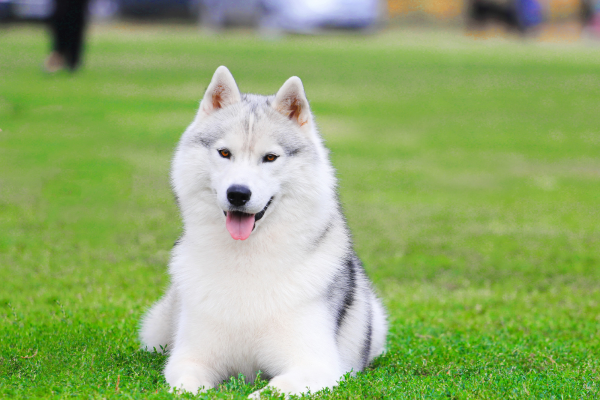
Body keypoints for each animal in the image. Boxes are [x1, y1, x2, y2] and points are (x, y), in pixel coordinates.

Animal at [138, 65, 386, 396]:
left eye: (270, 157)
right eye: (224, 153)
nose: (238, 194)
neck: (247, 260)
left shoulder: (315, 366)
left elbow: (271, 390)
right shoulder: (189, 359)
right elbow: (188, 386)